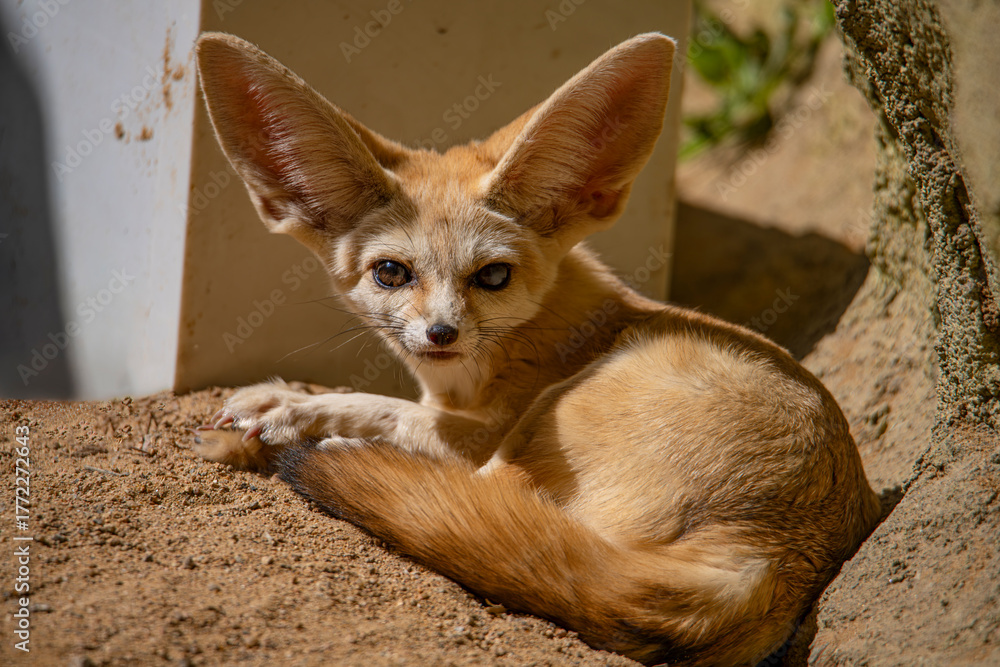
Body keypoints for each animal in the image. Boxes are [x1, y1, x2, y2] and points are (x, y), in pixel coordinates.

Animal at [192, 31, 881, 667]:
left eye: (493, 276)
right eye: (391, 273)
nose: (441, 334)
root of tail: (766, 561)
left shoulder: (488, 427)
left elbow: (387, 409)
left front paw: (287, 409)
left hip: (555, 412)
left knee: (468, 496)